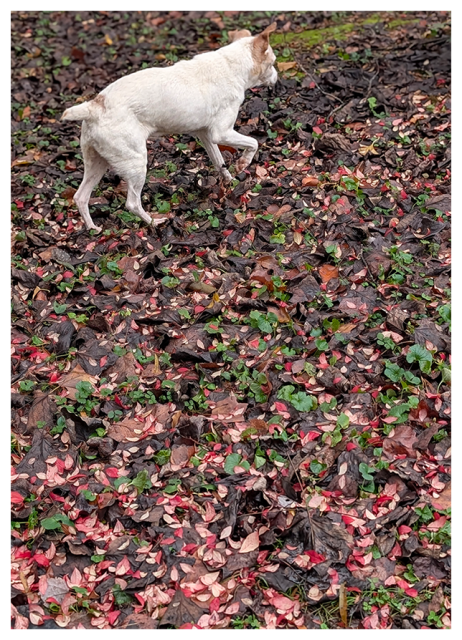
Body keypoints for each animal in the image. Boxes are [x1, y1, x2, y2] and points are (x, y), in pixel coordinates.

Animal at [61, 23, 278, 232]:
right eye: (273, 62)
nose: (277, 78)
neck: (230, 65)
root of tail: (95, 106)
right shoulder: (221, 133)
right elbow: (253, 142)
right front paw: (243, 163)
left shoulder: (205, 135)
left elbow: (219, 161)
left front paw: (230, 180)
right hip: (135, 162)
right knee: (132, 203)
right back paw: (154, 222)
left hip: (97, 162)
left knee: (80, 197)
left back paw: (92, 228)